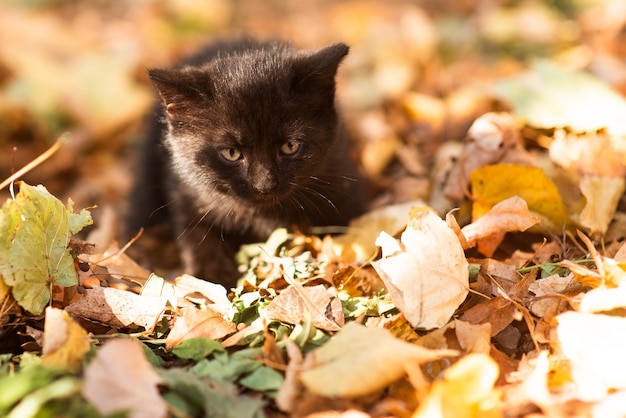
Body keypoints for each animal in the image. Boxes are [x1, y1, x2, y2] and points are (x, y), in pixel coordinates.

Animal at [127, 39, 364, 288]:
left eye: (290, 146)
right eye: (231, 153)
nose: (264, 185)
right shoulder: (187, 194)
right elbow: (198, 238)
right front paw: (213, 279)